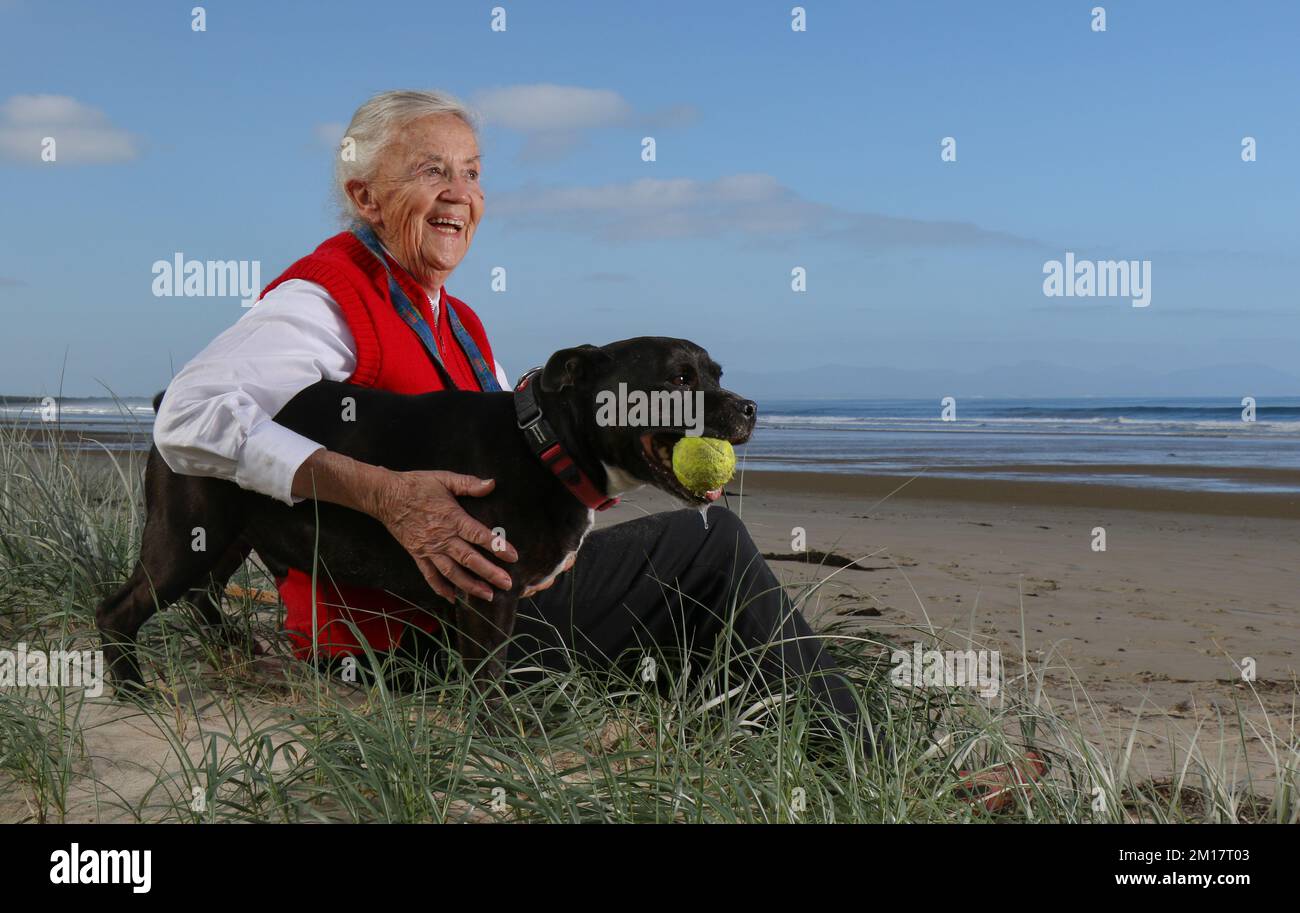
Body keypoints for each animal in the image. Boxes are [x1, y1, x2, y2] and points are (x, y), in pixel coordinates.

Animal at [96, 338, 759, 691]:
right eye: (678, 377)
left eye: (716, 374)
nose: (750, 407)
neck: (545, 444)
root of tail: (171, 401)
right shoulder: (488, 594)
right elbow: (488, 677)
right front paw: (497, 738)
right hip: (185, 537)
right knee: (122, 607)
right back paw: (131, 687)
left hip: (226, 536)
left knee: (204, 591)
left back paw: (229, 640)